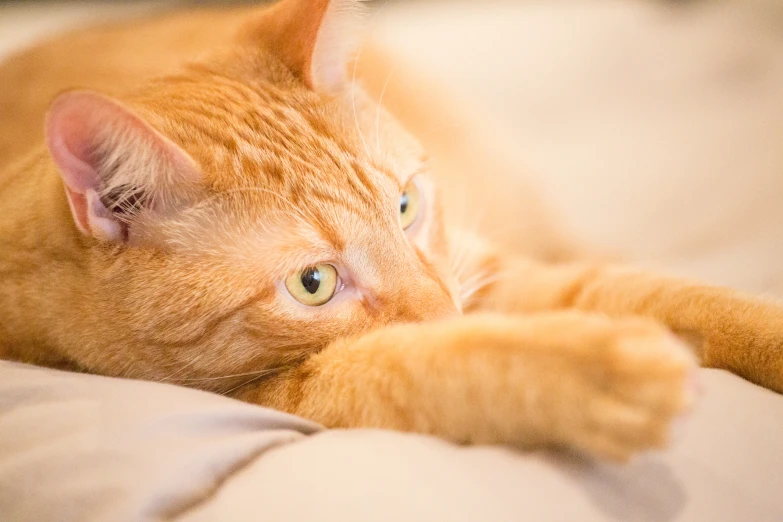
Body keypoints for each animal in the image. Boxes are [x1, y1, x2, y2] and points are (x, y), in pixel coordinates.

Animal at [0, 0, 780, 460]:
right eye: (313, 284)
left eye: (405, 207)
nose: (446, 313)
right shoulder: (286, 392)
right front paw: (591, 368)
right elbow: (421, 366)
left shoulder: (486, 268)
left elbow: (672, 296)